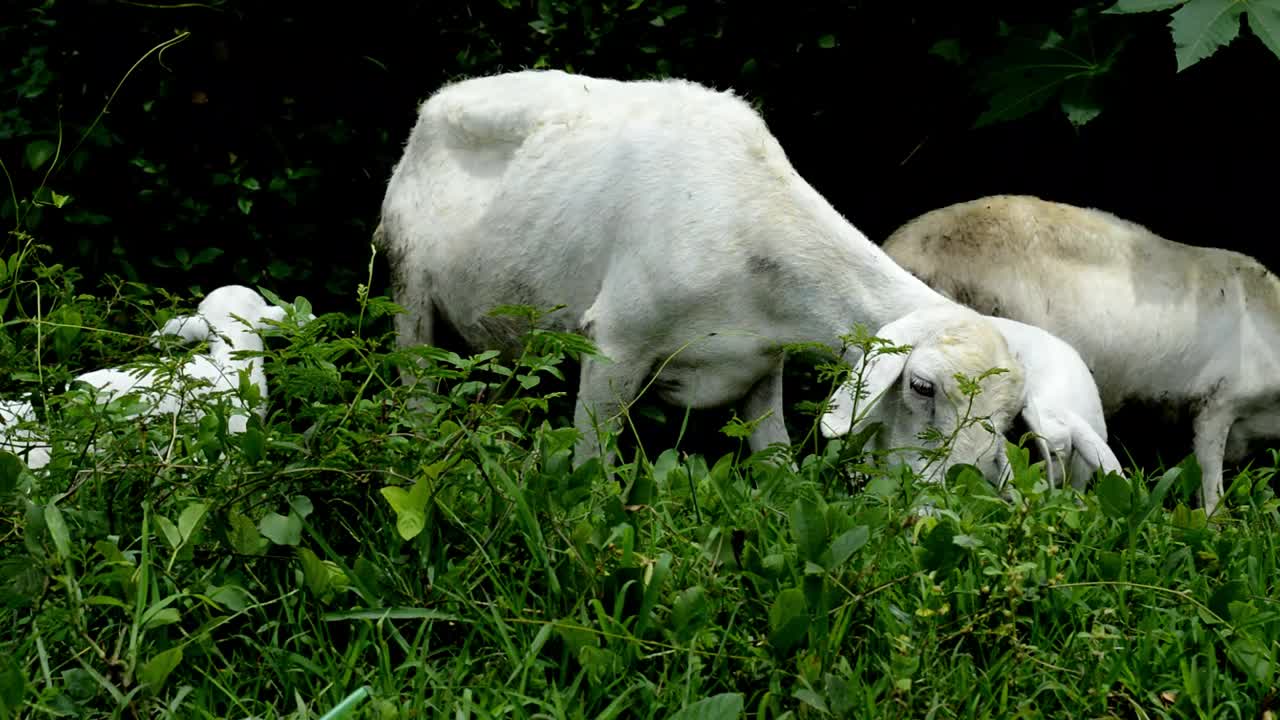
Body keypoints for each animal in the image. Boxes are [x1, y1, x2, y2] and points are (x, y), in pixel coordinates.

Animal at [373, 68, 1029, 481]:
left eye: (1008, 416)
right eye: (922, 387)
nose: (958, 494)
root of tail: (439, 100)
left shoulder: (762, 366)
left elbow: (780, 470)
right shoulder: (615, 341)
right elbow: (589, 472)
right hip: (406, 289)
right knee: (418, 393)